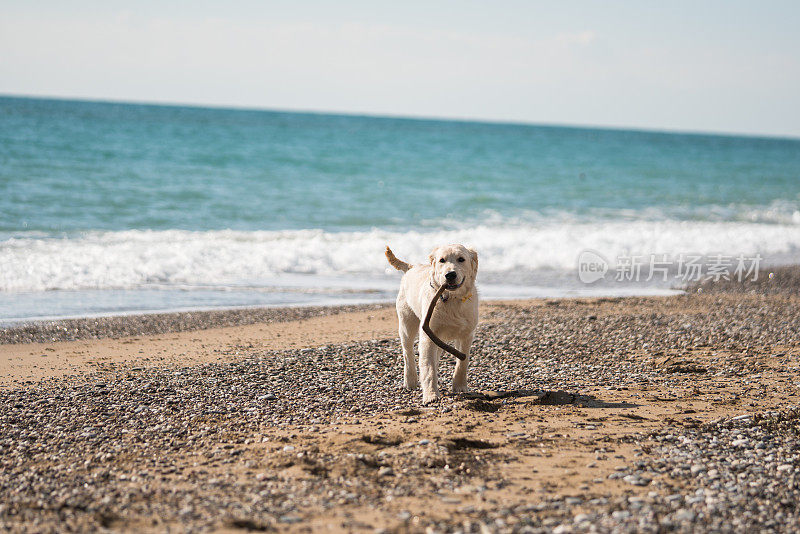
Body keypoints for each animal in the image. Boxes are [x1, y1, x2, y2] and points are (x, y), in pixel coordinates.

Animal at [384, 246, 478, 406]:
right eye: (442, 260)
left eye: (461, 259)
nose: (450, 275)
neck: (452, 299)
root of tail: (412, 266)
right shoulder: (427, 336)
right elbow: (428, 367)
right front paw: (431, 395)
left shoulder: (467, 335)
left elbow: (462, 363)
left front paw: (460, 386)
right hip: (406, 324)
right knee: (408, 353)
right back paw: (410, 381)